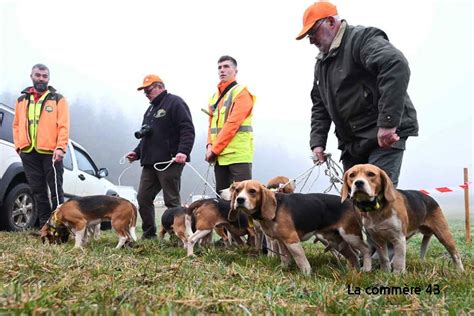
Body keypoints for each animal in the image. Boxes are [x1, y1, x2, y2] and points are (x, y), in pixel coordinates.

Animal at [230, 180, 370, 274]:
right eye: (237, 190)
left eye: (252, 191)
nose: (239, 199)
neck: (276, 207)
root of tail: (350, 202)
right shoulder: (282, 241)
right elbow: (285, 257)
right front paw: (284, 269)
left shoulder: (291, 239)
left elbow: (299, 259)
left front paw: (306, 273)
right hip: (336, 241)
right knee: (353, 255)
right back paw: (353, 271)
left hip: (350, 235)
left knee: (366, 249)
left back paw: (366, 269)